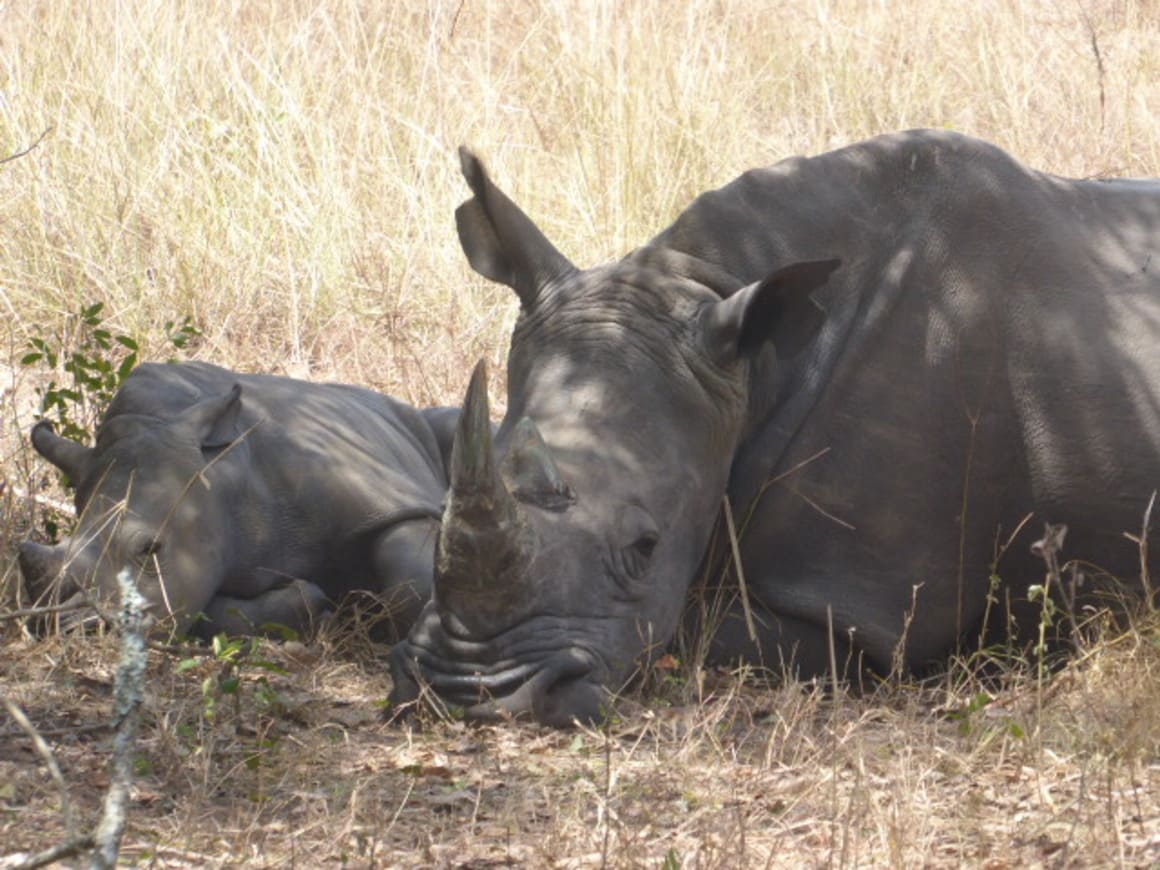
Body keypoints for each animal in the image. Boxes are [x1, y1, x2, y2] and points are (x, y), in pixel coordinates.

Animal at [21, 361, 457, 640]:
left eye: (150, 549)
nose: (70, 629)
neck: (222, 475)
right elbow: (209, 613)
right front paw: (321, 610)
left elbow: (411, 582)